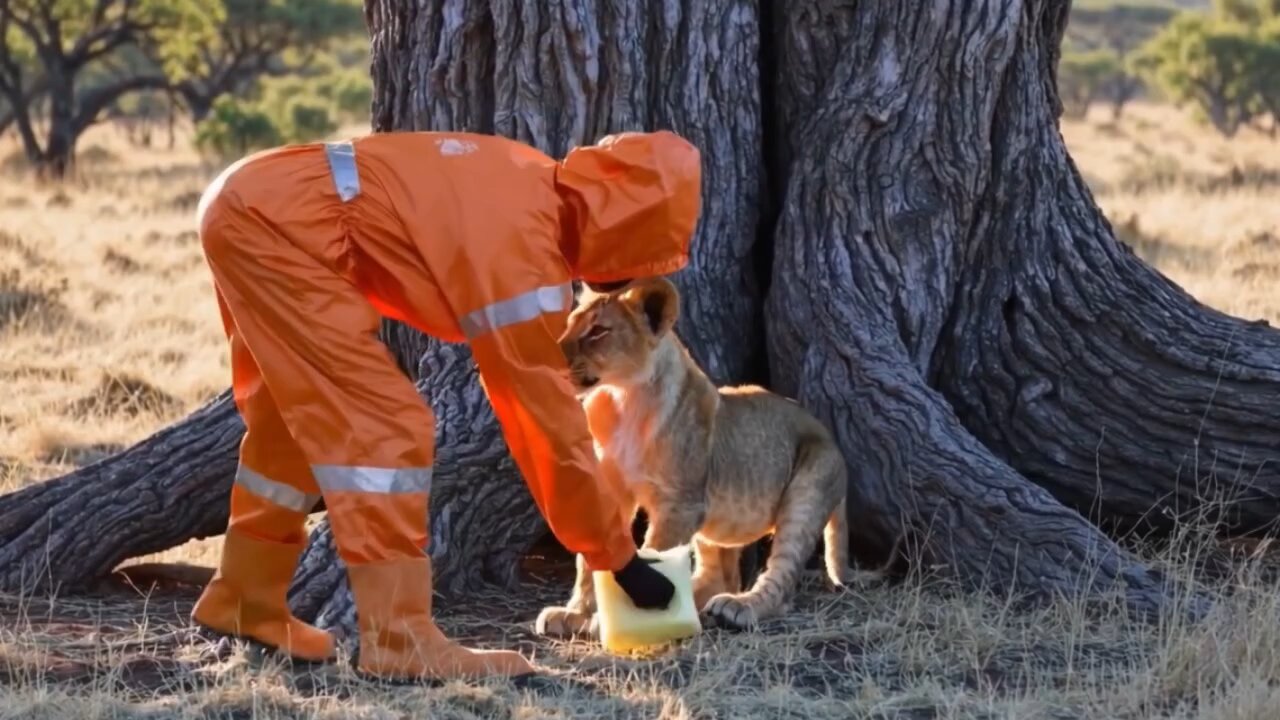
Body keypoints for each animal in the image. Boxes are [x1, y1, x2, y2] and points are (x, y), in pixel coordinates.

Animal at [534, 277, 884, 635]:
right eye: (569, 325)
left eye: (598, 331)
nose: (551, 357)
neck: (622, 398)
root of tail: (831, 440)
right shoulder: (616, 490)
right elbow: (591, 559)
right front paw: (576, 612)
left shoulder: (681, 504)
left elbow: (655, 552)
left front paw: (632, 613)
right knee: (718, 578)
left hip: (808, 487)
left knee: (782, 582)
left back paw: (737, 608)